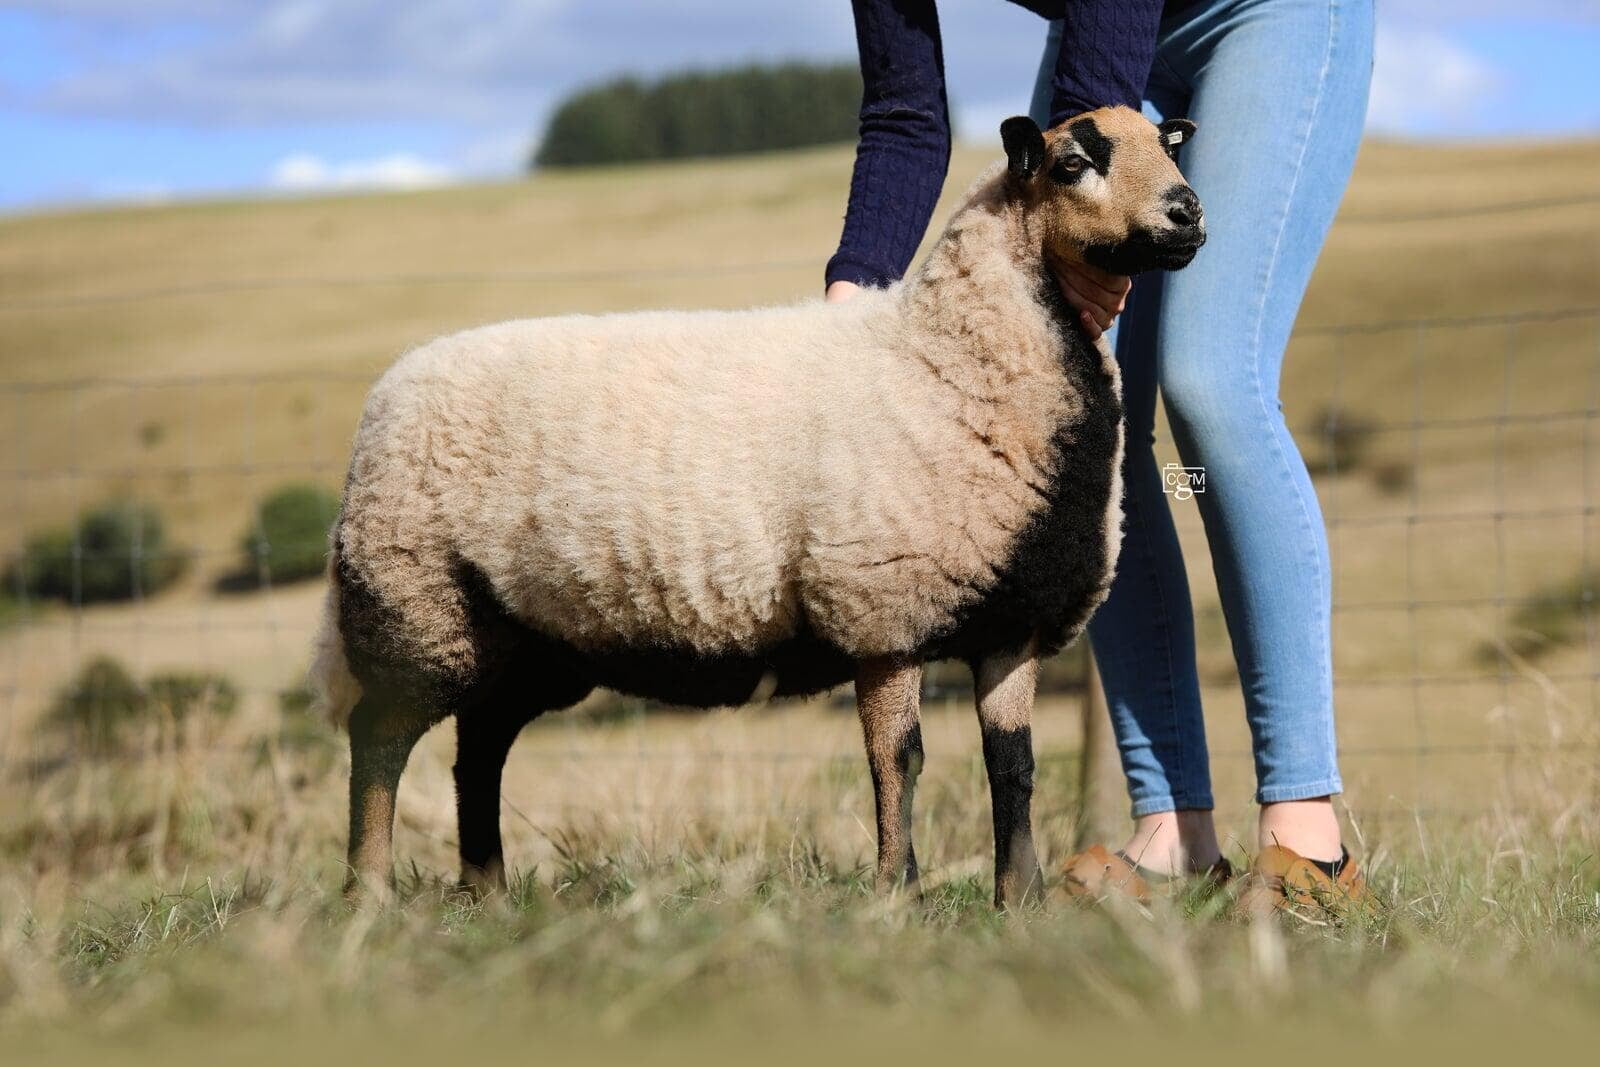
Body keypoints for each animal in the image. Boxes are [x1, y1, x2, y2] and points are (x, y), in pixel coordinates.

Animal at [311, 105, 1206, 908]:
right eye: (1072, 164)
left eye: (1168, 142)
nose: (1188, 212)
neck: (945, 361)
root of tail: (386, 394)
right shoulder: (882, 607)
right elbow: (899, 760)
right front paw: (898, 896)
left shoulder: (1011, 622)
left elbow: (1011, 765)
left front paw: (1020, 902)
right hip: (416, 598)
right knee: (379, 741)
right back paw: (370, 895)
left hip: (525, 635)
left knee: (479, 748)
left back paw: (487, 893)